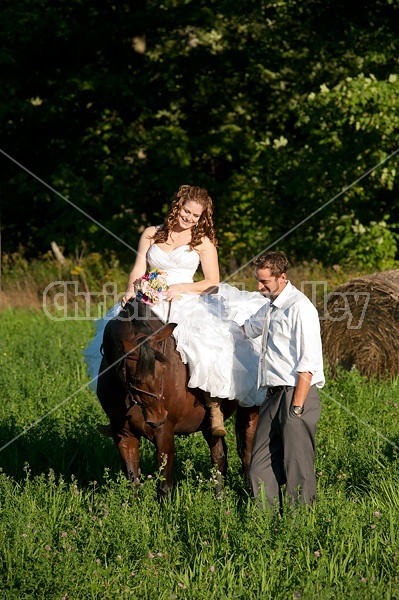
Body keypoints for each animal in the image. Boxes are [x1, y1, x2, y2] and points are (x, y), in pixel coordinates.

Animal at [96, 298, 260, 500]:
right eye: (134, 378)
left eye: (162, 371)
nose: (158, 417)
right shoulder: (124, 435)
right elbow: (133, 480)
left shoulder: (164, 432)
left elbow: (165, 484)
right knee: (219, 455)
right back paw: (219, 497)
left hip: (251, 409)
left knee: (246, 451)